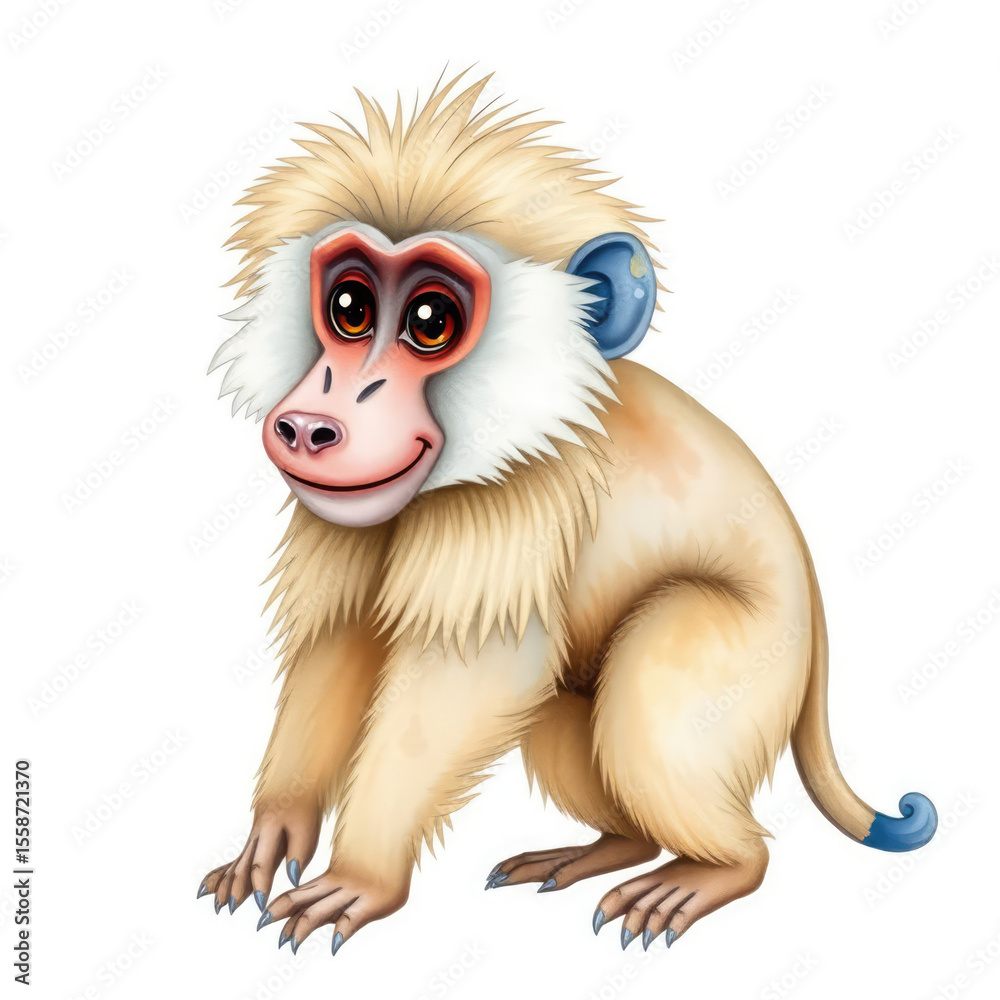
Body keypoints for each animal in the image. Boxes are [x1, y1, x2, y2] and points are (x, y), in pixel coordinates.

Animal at [198, 71, 936, 957]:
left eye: (429, 321)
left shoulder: (519, 502)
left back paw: (718, 866)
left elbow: (470, 672)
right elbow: (342, 637)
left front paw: (363, 877)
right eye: (348, 306)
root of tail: (816, 610)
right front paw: (276, 827)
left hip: (755, 656)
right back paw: (613, 848)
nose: (311, 423)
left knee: (647, 699)